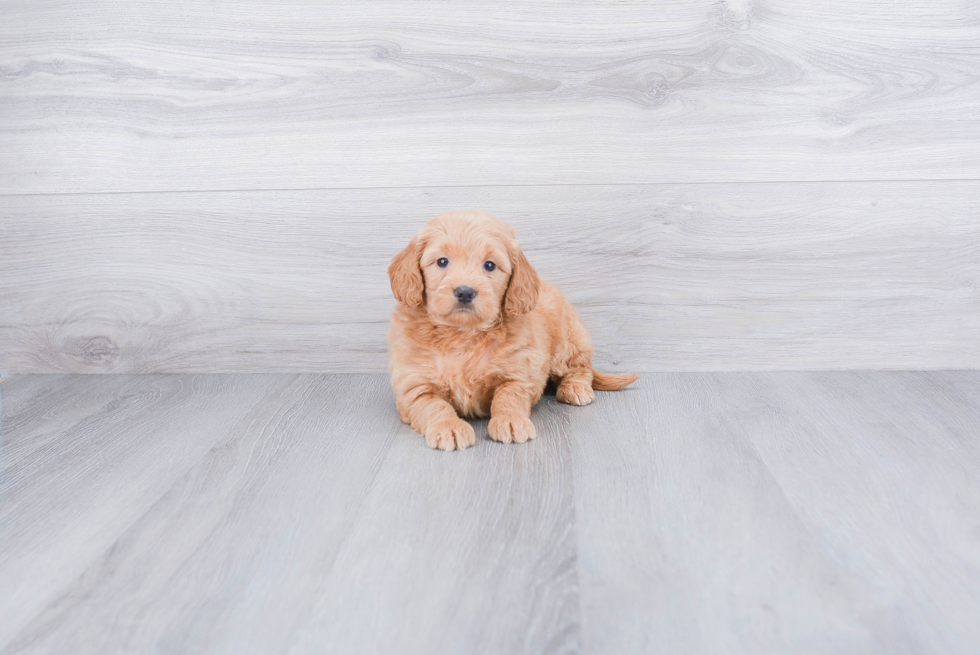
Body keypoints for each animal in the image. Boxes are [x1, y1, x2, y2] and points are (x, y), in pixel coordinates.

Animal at [386, 210, 640, 452]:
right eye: (442, 262)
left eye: (489, 265)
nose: (465, 292)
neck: (463, 333)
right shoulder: (414, 387)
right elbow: (433, 405)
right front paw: (448, 426)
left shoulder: (519, 373)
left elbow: (508, 396)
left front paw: (510, 421)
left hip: (567, 341)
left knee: (580, 367)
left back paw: (575, 387)